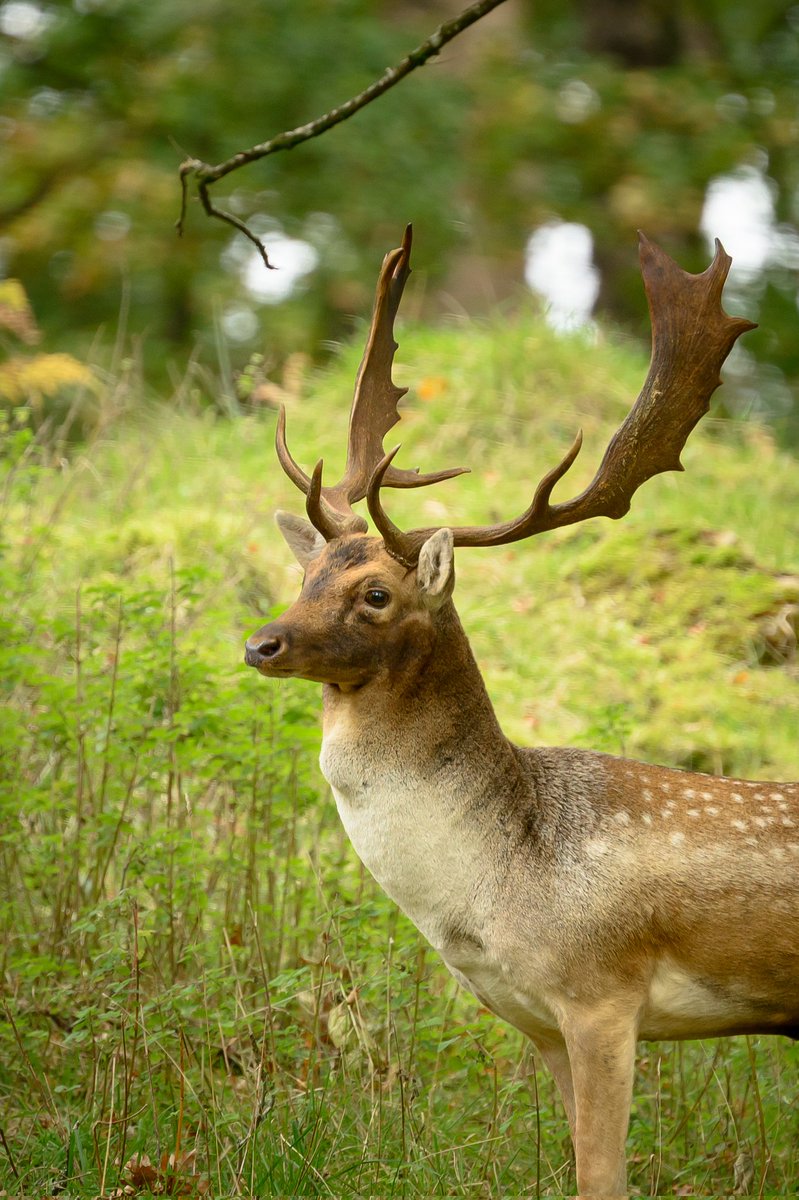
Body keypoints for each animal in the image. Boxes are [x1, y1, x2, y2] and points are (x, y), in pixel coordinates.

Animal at [244, 226, 799, 1198]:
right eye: (306, 573)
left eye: (377, 593)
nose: (262, 643)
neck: (494, 891)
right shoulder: (536, 1020)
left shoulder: (603, 993)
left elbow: (603, 1179)